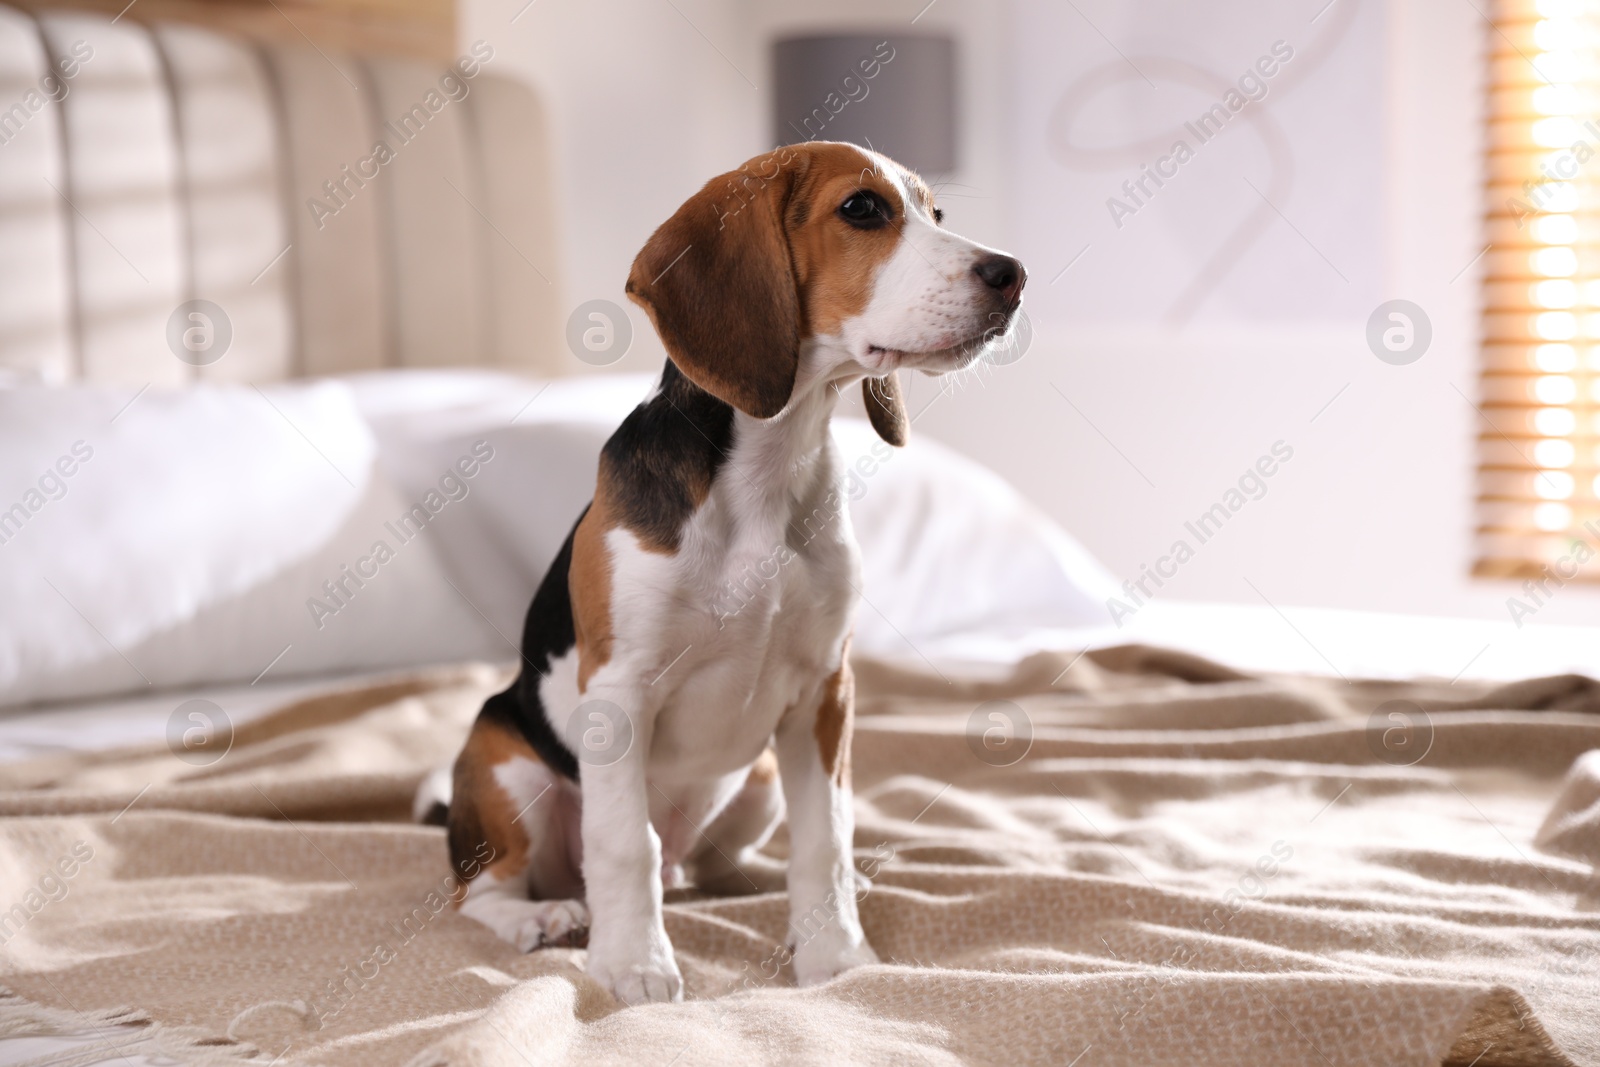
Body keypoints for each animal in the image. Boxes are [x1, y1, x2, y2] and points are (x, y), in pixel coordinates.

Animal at [425, 139, 1024, 1004]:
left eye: (935, 212)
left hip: (762, 775)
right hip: (504, 765)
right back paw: (545, 915)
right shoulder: (619, 693)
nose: (1013, 274)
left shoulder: (824, 691)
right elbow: (623, 843)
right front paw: (633, 965)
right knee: (487, 888)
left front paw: (835, 953)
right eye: (863, 209)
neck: (772, 470)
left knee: (712, 867)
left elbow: (826, 840)